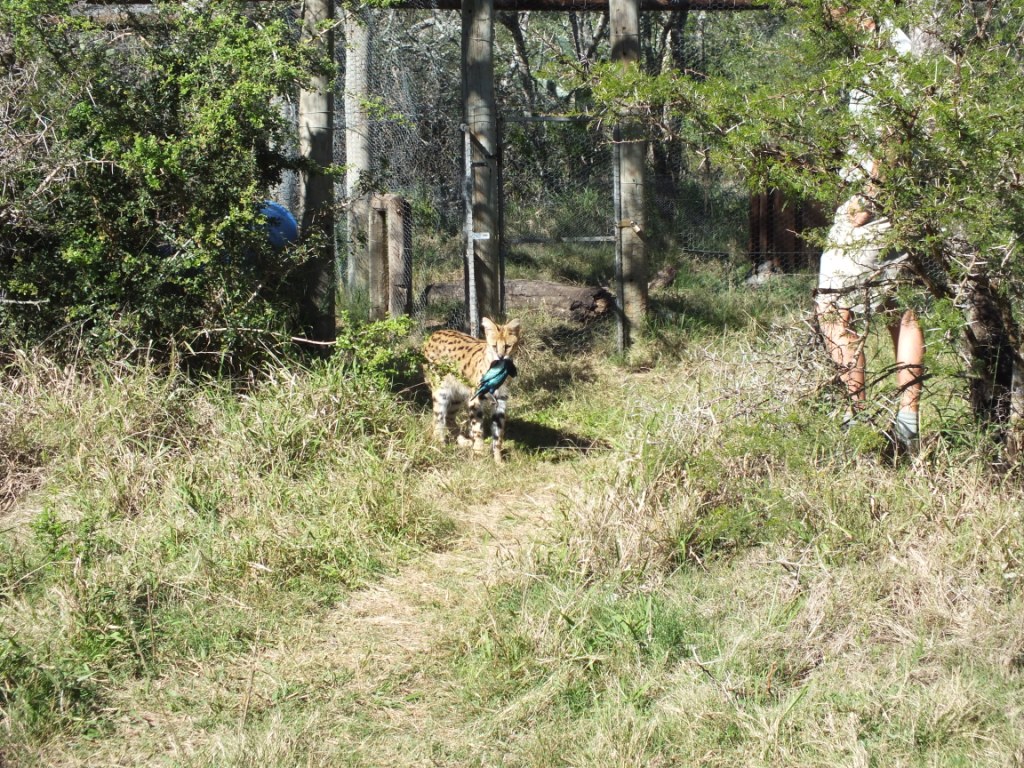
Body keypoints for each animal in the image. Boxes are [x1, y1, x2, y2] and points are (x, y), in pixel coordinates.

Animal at [421, 317, 524, 462]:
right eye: (494, 346)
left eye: (508, 346)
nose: (501, 357)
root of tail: (435, 333)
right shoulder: (475, 399)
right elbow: (477, 428)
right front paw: (479, 452)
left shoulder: (500, 401)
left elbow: (498, 433)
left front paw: (498, 460)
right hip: (441, 392)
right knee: (438, 419)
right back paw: (440, 447)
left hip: (457, 395)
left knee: (449, 418)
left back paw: (462, 441)